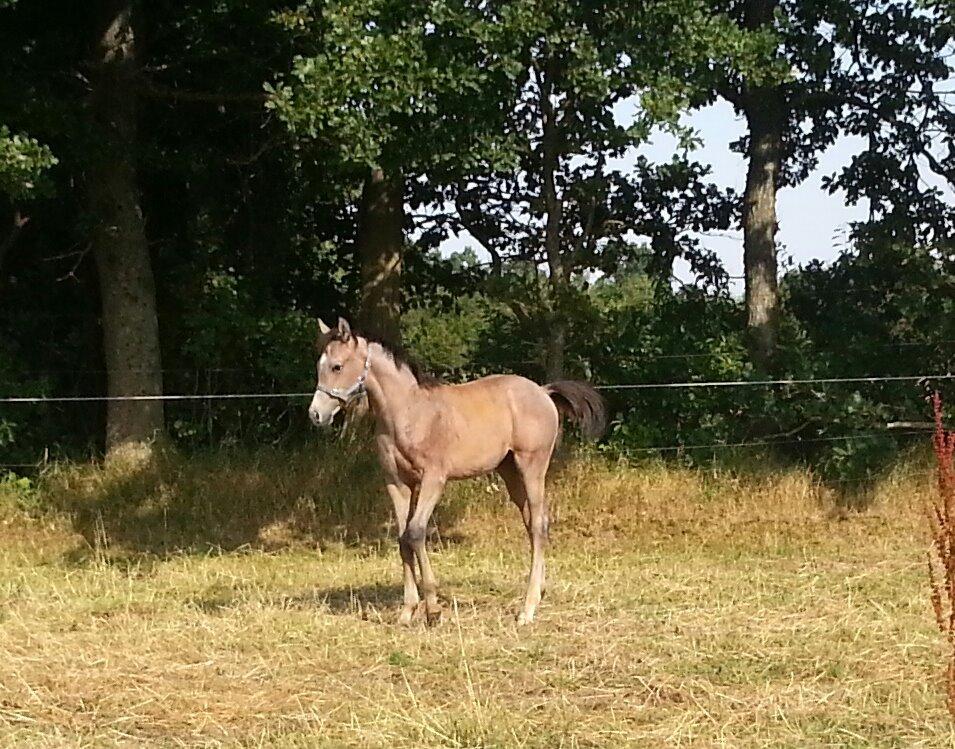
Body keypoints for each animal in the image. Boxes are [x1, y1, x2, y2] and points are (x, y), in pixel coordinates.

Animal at [310, 316, 608, 624]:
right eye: (319, 366)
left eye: (337, 366)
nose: (316, 415)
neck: (407, 412)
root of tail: (544, 391)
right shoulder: (397, 482)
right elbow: (402, 538)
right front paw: (407, 611)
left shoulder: (434, 479)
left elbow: (416, 532)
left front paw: (433, 609)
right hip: (510, 472)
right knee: (532, 522)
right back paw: (540, 591)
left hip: (532, 465)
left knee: (538, 524)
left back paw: (527, 609)